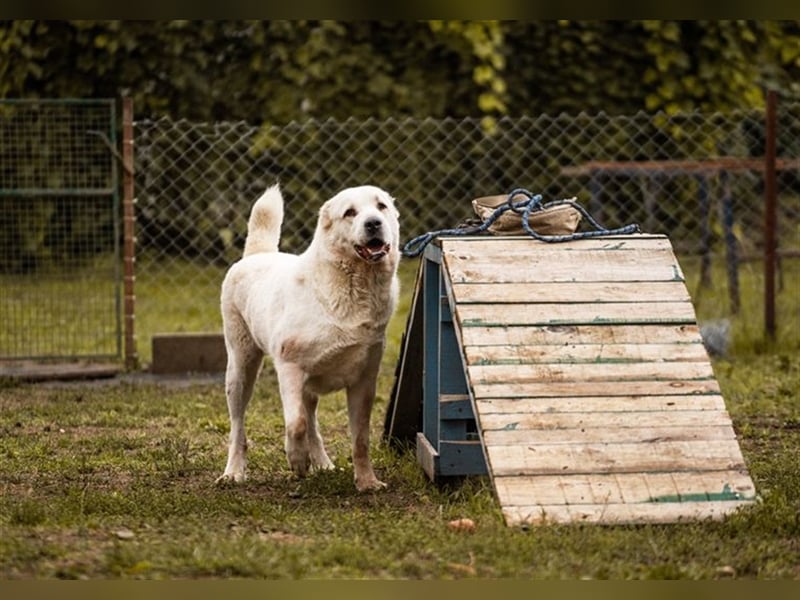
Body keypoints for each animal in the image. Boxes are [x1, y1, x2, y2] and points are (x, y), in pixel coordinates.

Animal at [216, 184, 400, 492]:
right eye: (350, 212)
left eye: (381, 206)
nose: (373, 223)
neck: (353, 287)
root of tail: (256, 255)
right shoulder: (289, 368)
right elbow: (296, 423)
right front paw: (297, 462)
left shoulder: (364, 383)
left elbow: (360, 440)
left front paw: (367, 482)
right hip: (240, 370)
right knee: (238, 427)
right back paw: (234, 472)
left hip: (308, 383)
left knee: (312, 419)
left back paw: (323, 463)